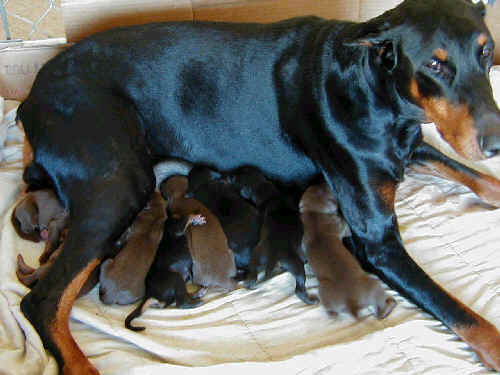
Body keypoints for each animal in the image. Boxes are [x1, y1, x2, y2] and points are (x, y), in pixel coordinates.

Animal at [298, 182, 396, 320]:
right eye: (327, 190)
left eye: (315, 187)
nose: (323, 181)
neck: (314, 214)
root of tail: (351, 302)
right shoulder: (341, 227)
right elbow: (346, 227)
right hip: (374, 285)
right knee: (381, 306)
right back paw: (390, 305)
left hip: (324, 293)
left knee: (331, 310)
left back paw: (333, 314)